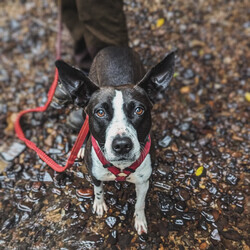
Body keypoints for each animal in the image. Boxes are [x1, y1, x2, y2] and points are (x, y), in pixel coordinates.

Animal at [55, 46, 175, 234]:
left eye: (139, 110)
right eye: (100, 112)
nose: (122, 145)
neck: (121, 167)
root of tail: (114, 47)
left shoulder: (143, 182)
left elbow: (140, 203)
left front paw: (140, 221)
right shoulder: (95, 175)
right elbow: (98, 190)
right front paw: (99, 204)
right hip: (82, 110)